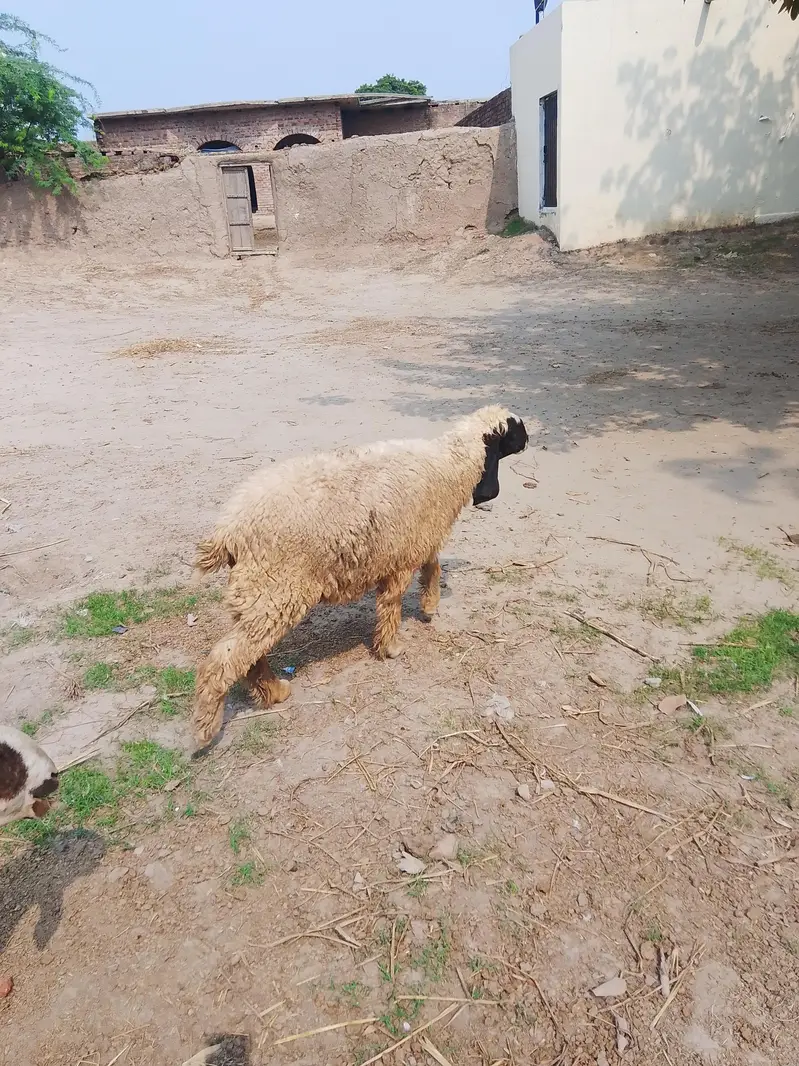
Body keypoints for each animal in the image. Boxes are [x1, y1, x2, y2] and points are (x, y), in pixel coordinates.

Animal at [191, 405, 528, 746]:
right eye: (515, 430)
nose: (528, 441)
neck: (451, 463)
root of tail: (227, 533)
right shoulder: (403, 554)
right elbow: (392, 602)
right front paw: (390, 647)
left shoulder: (418, 539)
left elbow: (433, 568)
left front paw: (429, 606)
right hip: (274, 589)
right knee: (224, 660)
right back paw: (207, 729)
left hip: (260, 595)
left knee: (247, 656)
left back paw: (273, 693)